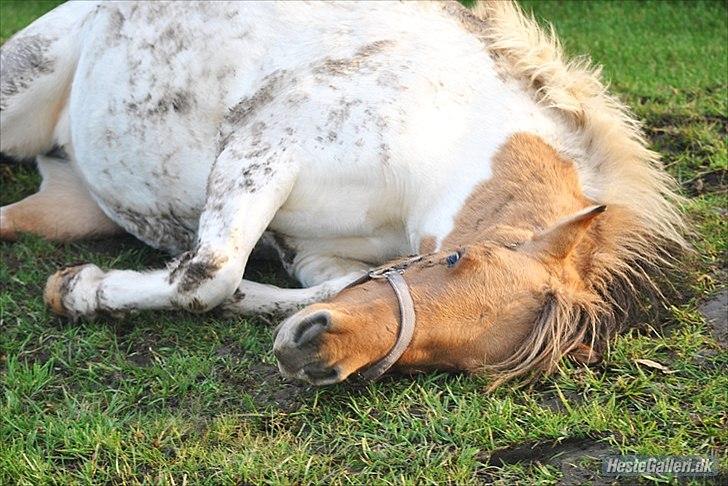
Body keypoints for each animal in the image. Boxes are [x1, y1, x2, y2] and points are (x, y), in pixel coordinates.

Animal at [0, 0, 684, 388]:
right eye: (456, 258)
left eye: (459, 362)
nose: (314, 355)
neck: (451, 126)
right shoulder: (259, 149)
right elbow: (211, 273)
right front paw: (86, 290)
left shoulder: (316, 255)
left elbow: (303, 285)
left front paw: (80, 288)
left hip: (65, 207)